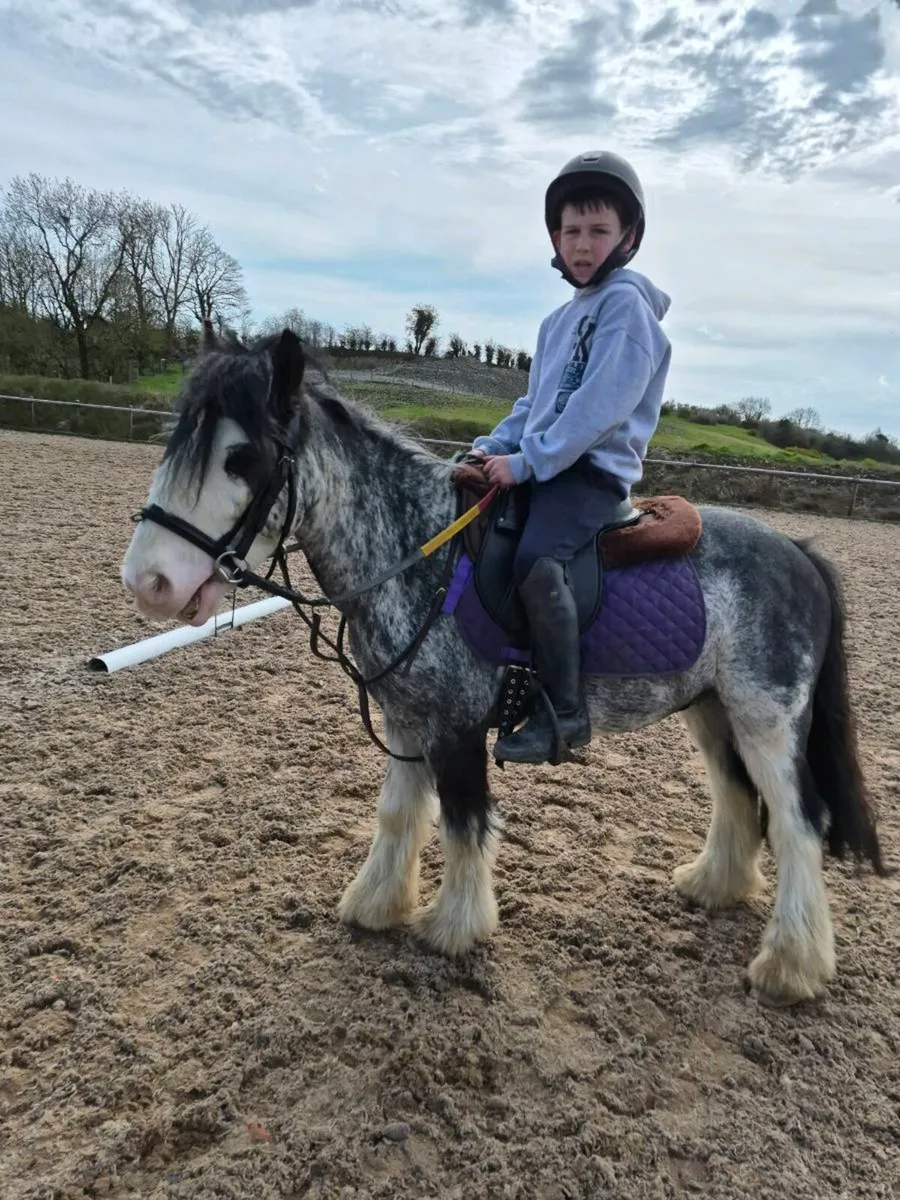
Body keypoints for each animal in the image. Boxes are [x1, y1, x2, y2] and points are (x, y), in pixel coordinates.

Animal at [120, 326, 886, 1007]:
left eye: (241, 458)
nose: (148, 581)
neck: (417, 552)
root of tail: (798, 553)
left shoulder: (456, 726)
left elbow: (464, 822)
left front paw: (452, 929)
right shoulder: (407, 718)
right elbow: (398, 814)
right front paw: (374, 906)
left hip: (767, 720)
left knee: (798, 821)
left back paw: (790, 967)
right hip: (713, 709)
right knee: (736, 795)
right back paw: (713, 887)